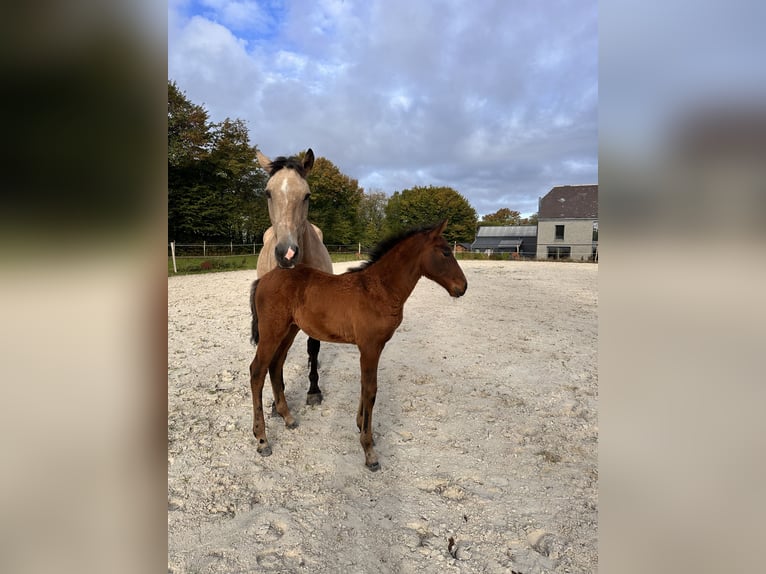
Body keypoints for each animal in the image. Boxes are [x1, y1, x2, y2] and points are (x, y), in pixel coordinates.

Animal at [249, 220, 468, 471]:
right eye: (446, 252)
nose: (463, 287)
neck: (379, 289)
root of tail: (263, 279)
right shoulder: (370, 346)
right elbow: (371, 389)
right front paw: (369, 449)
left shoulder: (373, 347)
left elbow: (365, 386)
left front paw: (360, 425)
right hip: (272, 331)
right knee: (257, 371)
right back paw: (262, 440)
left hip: (289, 330)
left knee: (275, 366)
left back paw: (288, 418)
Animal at [255, 148, 333, 407]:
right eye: (268, 193)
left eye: (306, 195)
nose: (287, 253)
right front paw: (275, 402)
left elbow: (313, 346)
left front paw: (314, 390)